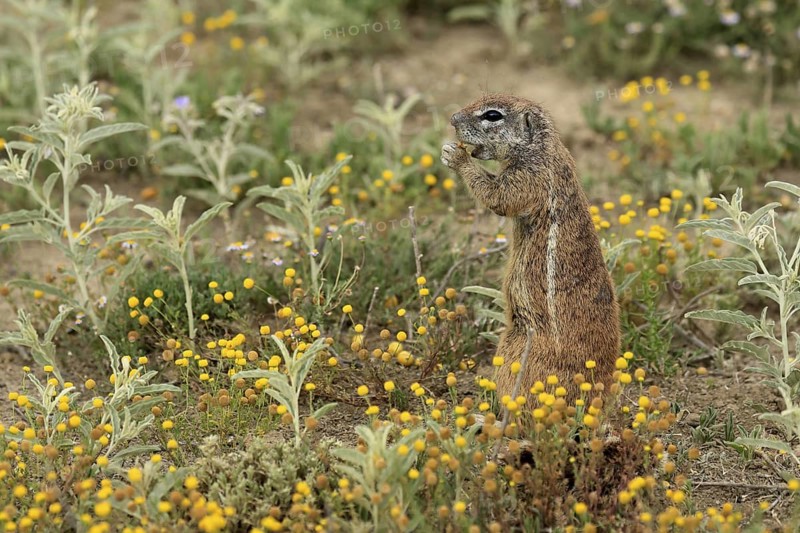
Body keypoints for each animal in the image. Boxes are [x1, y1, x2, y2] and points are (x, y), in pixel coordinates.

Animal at [441, 94, 620, 399]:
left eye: (492, 115)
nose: (453, 119)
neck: (541, 147)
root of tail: (596, 390)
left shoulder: (528, 177)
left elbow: (498, 197)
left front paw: (455, 156)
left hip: (515, 348)